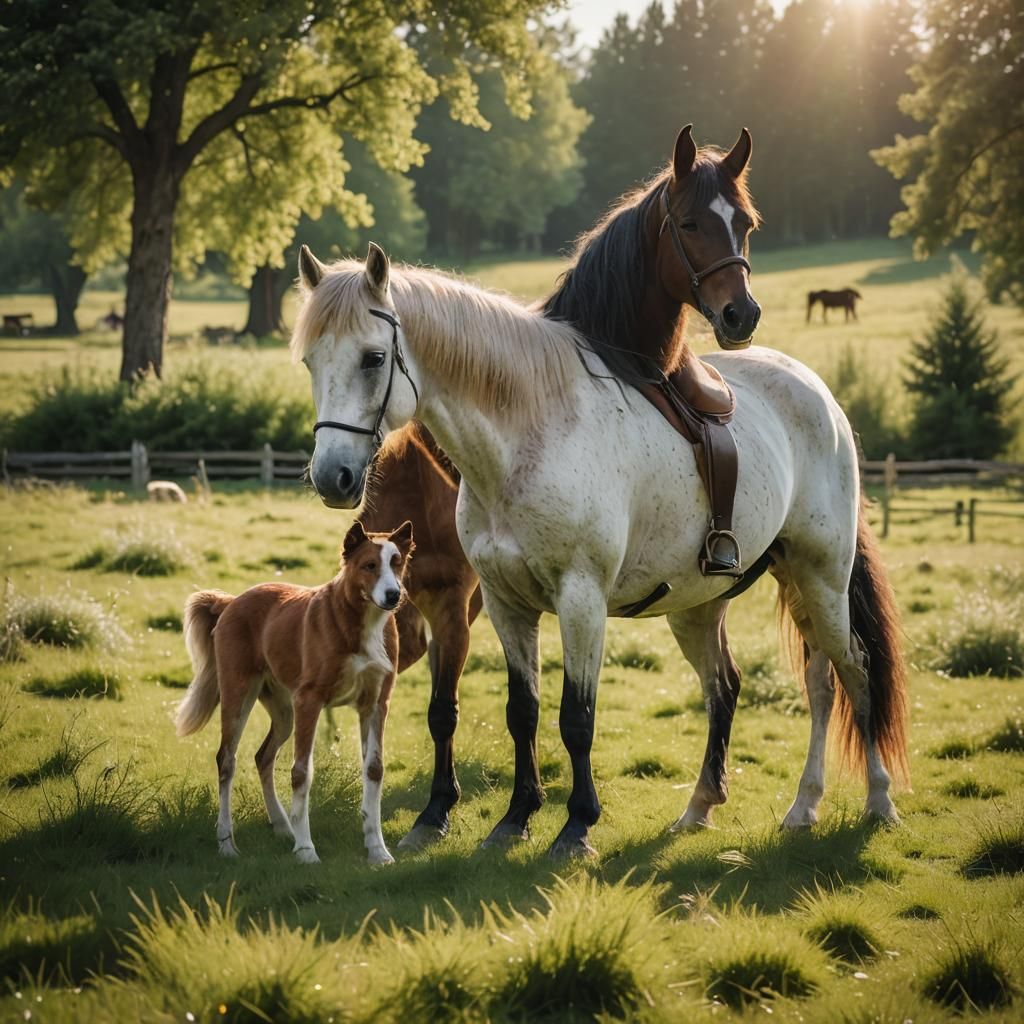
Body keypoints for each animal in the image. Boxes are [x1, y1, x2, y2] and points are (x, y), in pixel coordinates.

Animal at [293, 243, 909, 859]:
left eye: (374, 358)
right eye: (309, 362)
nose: (332, 477)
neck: (529, 434)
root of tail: (817, 392)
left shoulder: (579, 601)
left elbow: (577, 717)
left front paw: (576, 826)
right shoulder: (505, 605)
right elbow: (523, 711)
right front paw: (515, 818)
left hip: (822, 577)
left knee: (852, 672)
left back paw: (875, 801)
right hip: (708, 604)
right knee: (756, 685)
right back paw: (738, 807)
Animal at [351, 124, 765, 849]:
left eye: (744, 223)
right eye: (689, 223)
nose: (741, 313)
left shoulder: (464, 603)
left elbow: (485, 709)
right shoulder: (459, 602)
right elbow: (469, 708)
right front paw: (465, 809)